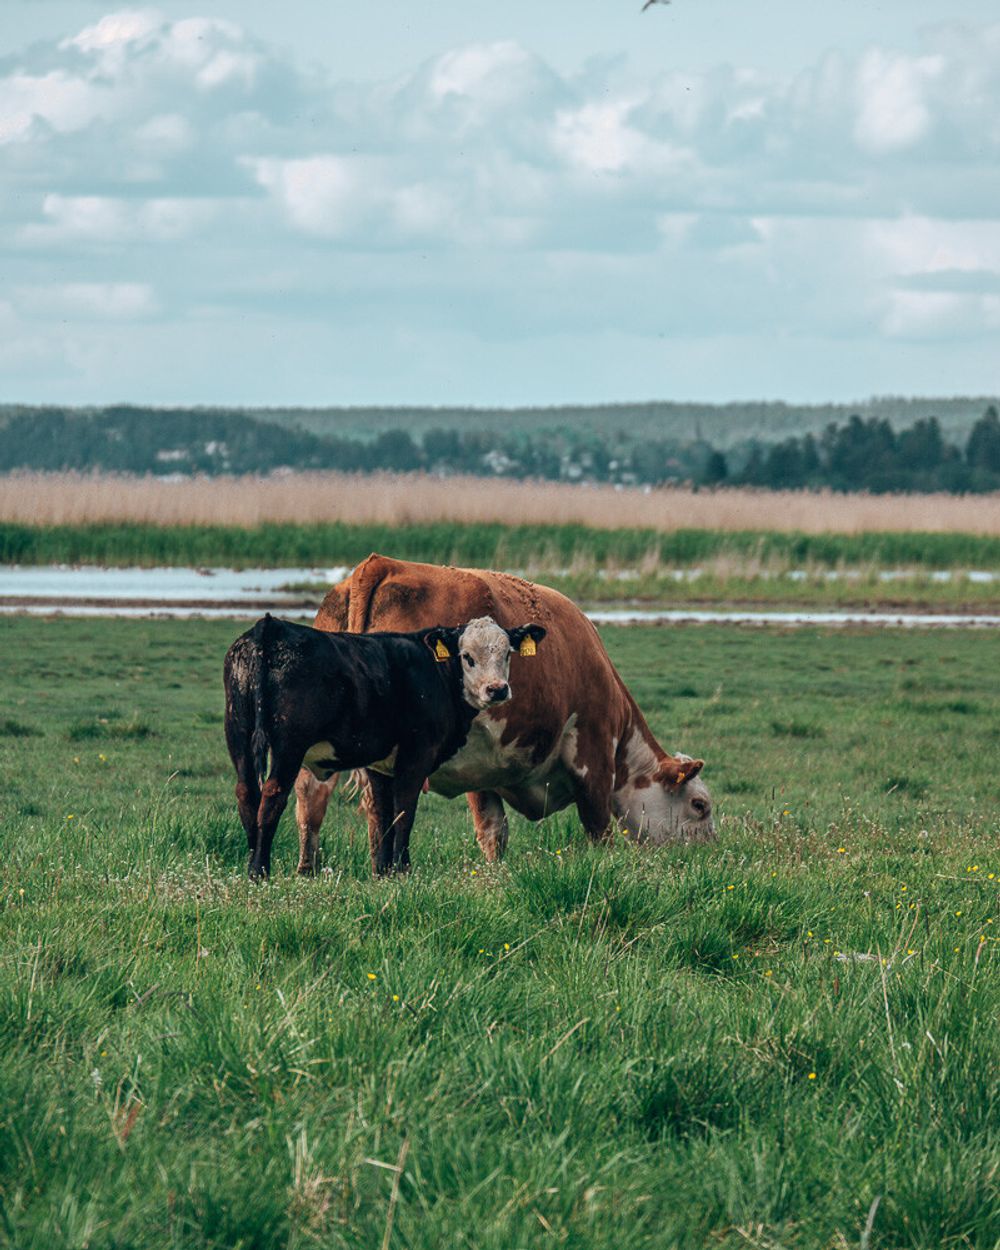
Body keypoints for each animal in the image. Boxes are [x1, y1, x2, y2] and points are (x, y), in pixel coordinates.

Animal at [223, 612, 546, 878]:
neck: (434, 671)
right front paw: (402, 869)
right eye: (467, 656)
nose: (497, 689)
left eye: (507, 654)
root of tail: (270, 625)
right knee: (272, 796)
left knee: (246, 794)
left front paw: (383, 870)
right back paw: (260, 870)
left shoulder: (379, 764)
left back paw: (251, 861)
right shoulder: (417, 755)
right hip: (288, 747)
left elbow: (382, 814)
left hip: (238, 734)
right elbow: (403, 811)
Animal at [293, 554, 714, 874]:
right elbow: (598, 829)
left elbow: (492, 830)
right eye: (700, 805)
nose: (709, 857)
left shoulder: (479, 765)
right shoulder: (592, 752)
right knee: (393, 806)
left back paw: (315, 871)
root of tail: (381, 565)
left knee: (316, 799)